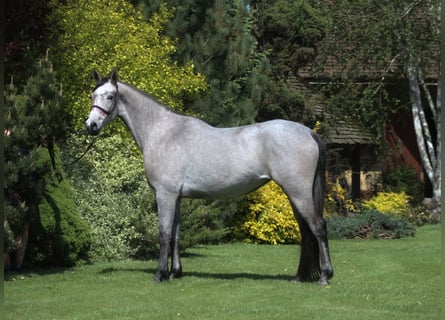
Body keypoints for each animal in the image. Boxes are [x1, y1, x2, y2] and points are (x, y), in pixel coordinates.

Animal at [85, 70, 332, 284]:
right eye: (93, 95)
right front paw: (175, 272)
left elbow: (164, 233)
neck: (163, 132)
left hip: (298, 192)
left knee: (318, 227)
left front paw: (160, 274)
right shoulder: (177, 197)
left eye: (110, 96)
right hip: (296, 195)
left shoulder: (165, 194)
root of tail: (308, 132)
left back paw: (324, 276)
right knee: (306, 230)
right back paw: (300, 277)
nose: (91, 126)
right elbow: (176, 234)